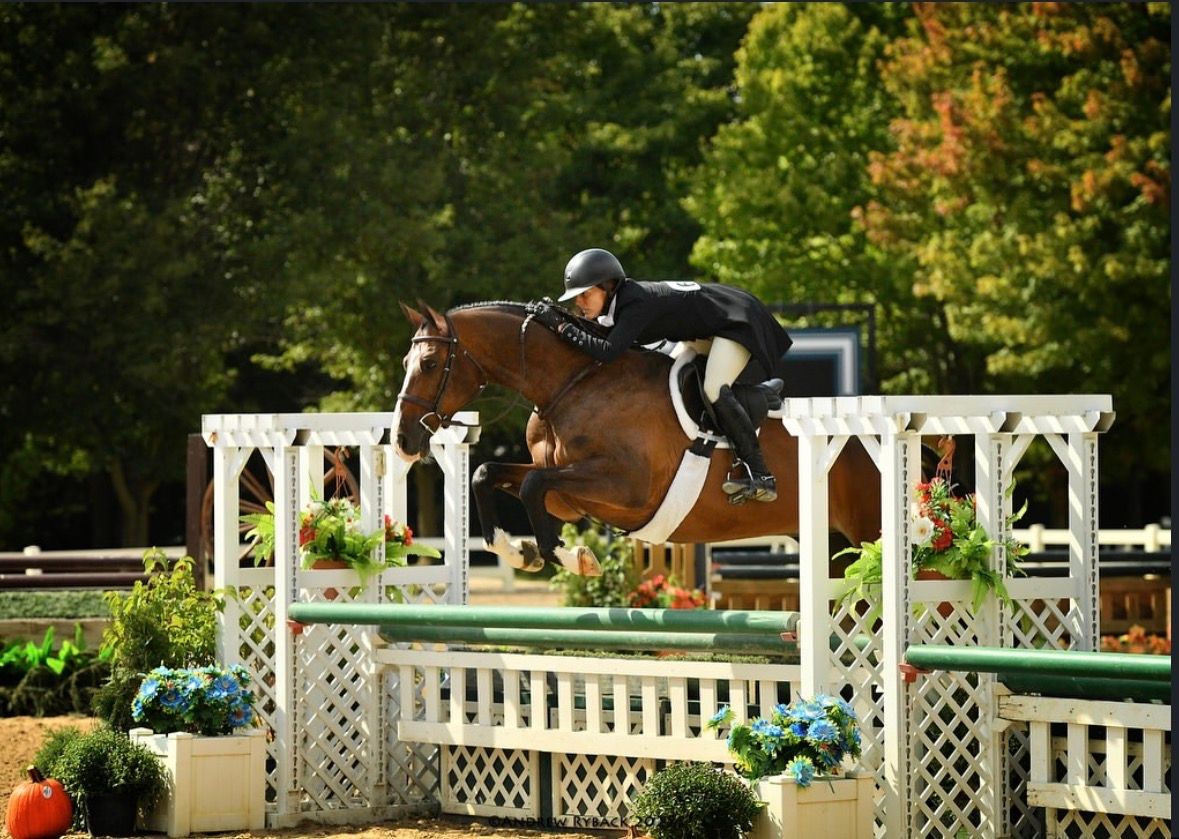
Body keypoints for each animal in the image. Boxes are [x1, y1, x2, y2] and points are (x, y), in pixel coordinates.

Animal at [392, 301, 882, 576]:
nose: (402, 440)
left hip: (868, 529)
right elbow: (487, 473)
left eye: (430, 363)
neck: (571, 384)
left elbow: (531, 485)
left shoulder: (627, 489)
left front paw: (573, 557)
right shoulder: (565, 496)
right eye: (405, 361)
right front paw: (519, 553)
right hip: (835, 544)